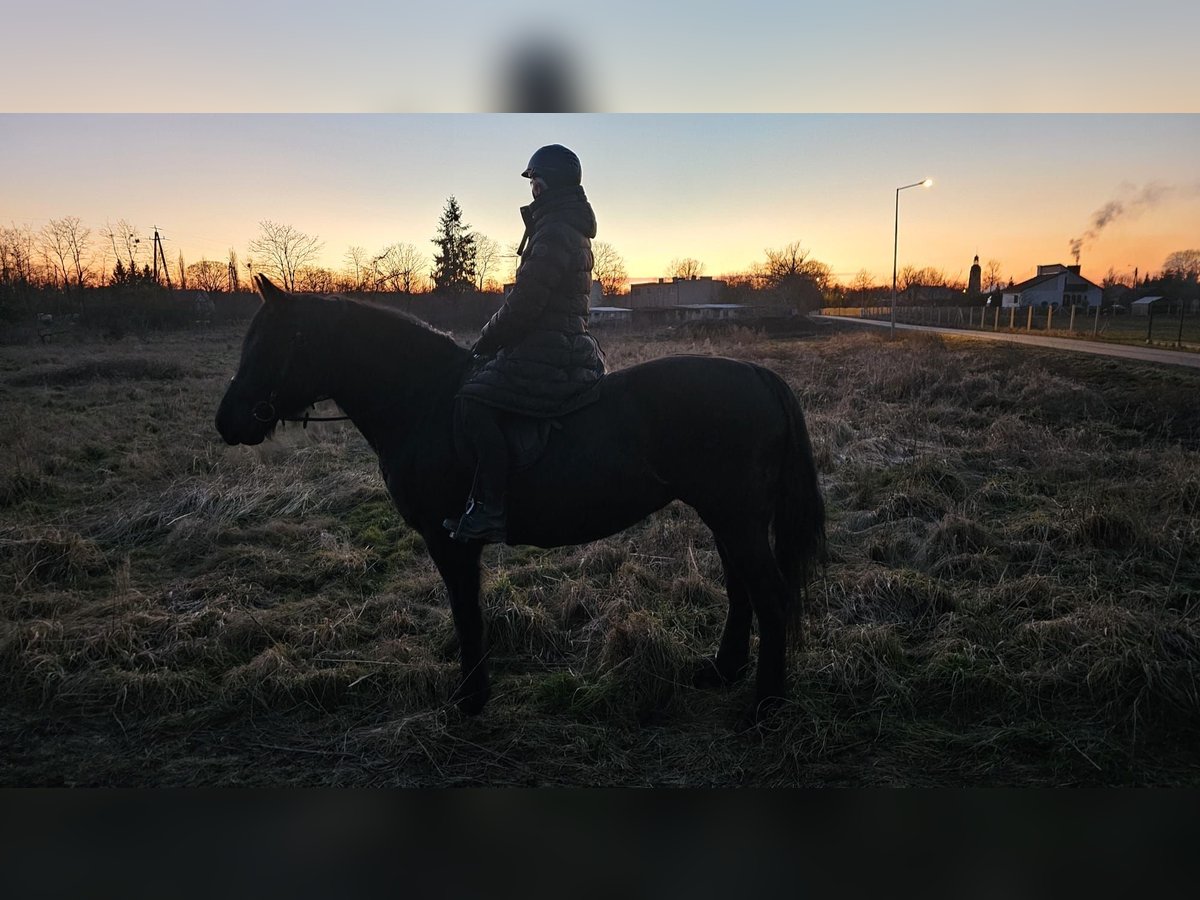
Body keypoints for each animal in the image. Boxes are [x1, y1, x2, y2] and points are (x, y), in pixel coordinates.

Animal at [216, 274, 825, 720]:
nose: (227, 422)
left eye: (274, 343)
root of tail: (756, 375)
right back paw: (724, 671)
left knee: (770, 596)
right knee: (742, 589)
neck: (422, 402)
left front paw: (470, 699)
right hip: (728, 517)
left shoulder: (449, 540)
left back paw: (766, 704)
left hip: (737, 518)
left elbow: (466, 613)